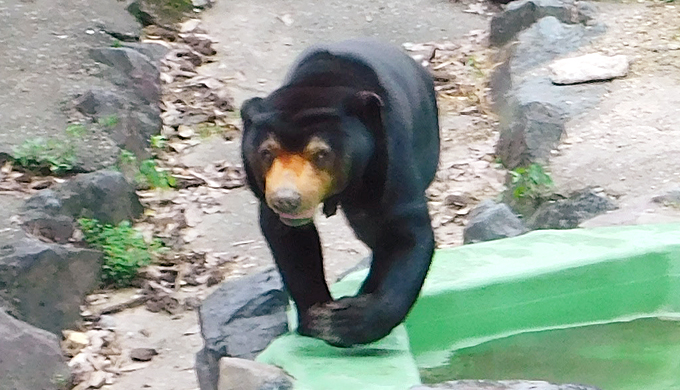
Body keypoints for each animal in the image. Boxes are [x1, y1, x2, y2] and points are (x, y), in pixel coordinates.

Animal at [239, 37, 440, 348]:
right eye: (267, 152)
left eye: (321, 154)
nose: (286, 199)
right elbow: (290, 240)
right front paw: (317, 316)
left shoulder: (386, 155)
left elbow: (404, 230)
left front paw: (346, 320)